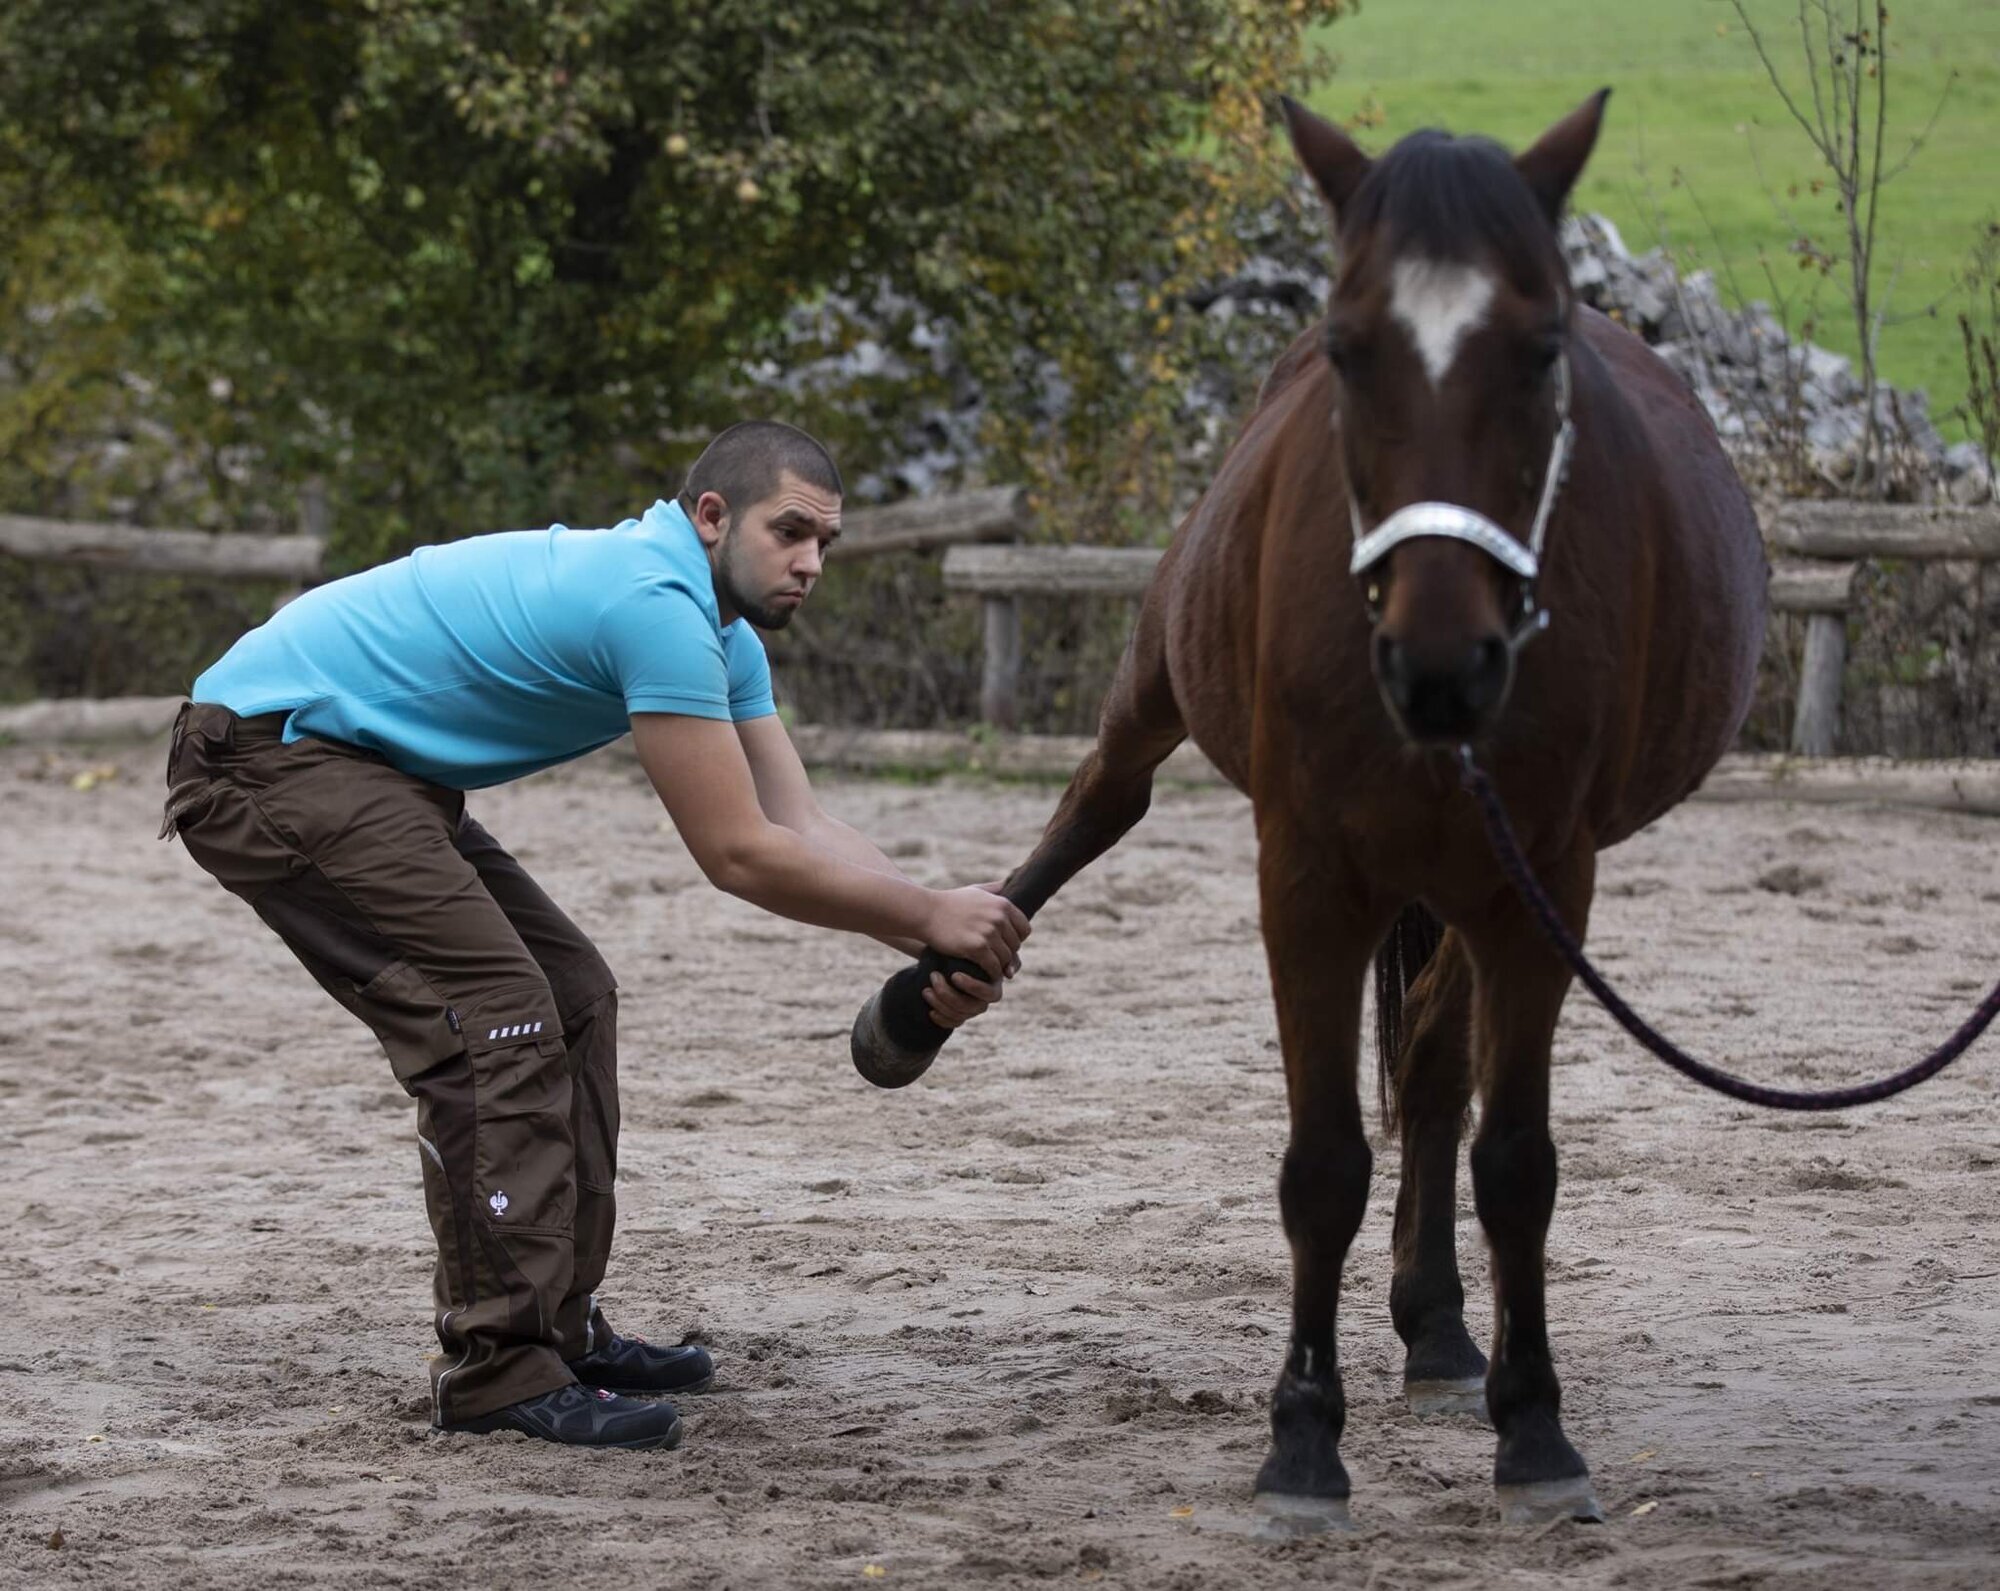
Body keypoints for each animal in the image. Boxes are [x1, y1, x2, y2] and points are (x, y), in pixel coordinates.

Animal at [852, 90, 1768, 1527]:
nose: (1443, 663)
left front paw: (1533, 1427)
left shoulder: (1540, 886)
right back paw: (924, 998)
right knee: (1095, 809)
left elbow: (1514, 1157)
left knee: (1437, 1066)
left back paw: (1439, 1326)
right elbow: (1322, 1158)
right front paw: (1298, 1439)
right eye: (1349, 348)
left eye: (1541, 348)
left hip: (1469, 883)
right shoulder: (1306, 877)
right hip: (1160, 677)